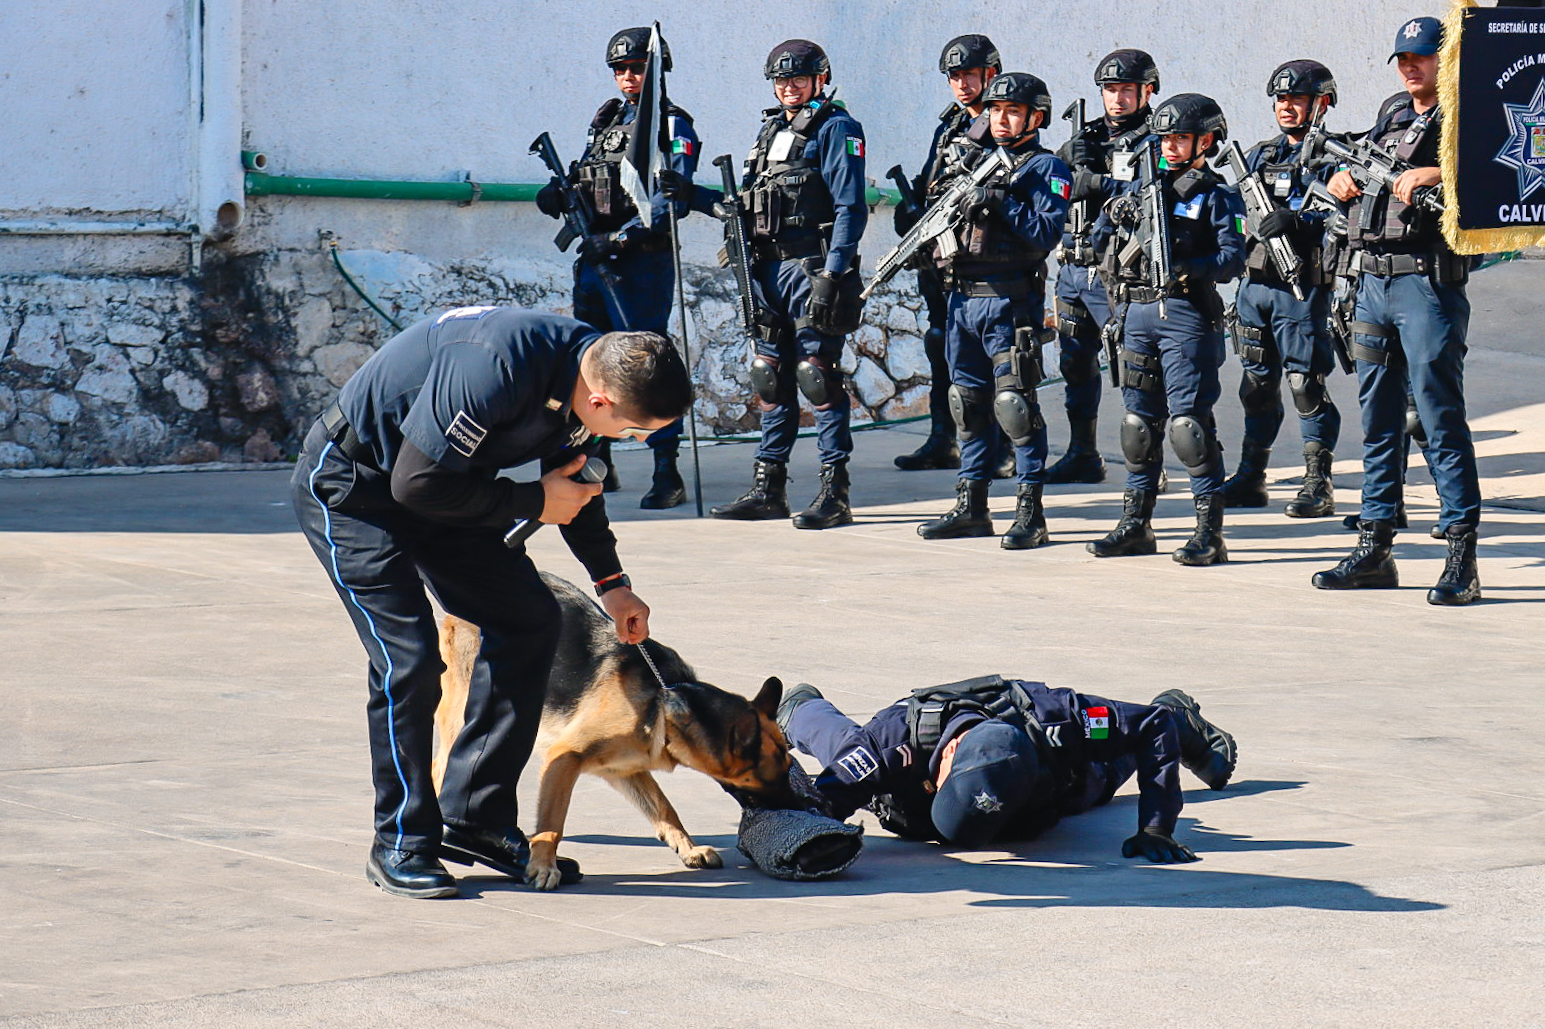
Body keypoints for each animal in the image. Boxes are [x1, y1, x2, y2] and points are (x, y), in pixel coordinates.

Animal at [432, 571, 797, 883]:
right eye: (776, 775)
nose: (804, 807)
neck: (666, 700)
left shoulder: (622, 769)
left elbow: (664, 807)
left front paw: (688, 848)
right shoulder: (565, 757)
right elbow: (552, 822)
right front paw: (544, 865)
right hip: (465, 711)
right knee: (440, 765)